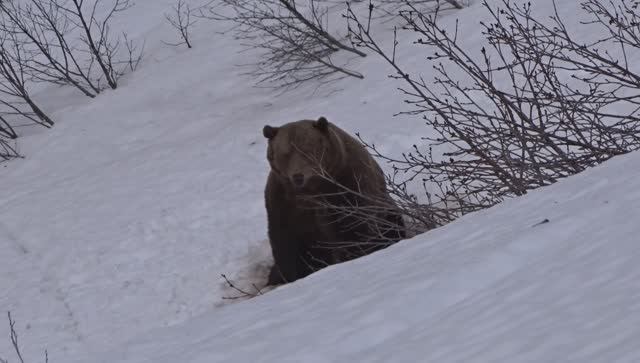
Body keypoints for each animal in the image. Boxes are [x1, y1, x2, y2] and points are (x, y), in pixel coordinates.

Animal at [262, 117, 404, 288]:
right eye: (285, 153)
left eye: (307, 149)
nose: (298, 176)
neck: (312, 189)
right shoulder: (283, 202)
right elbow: (285, 242)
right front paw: (292, 276)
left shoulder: (348, 185)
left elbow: (355, 226)